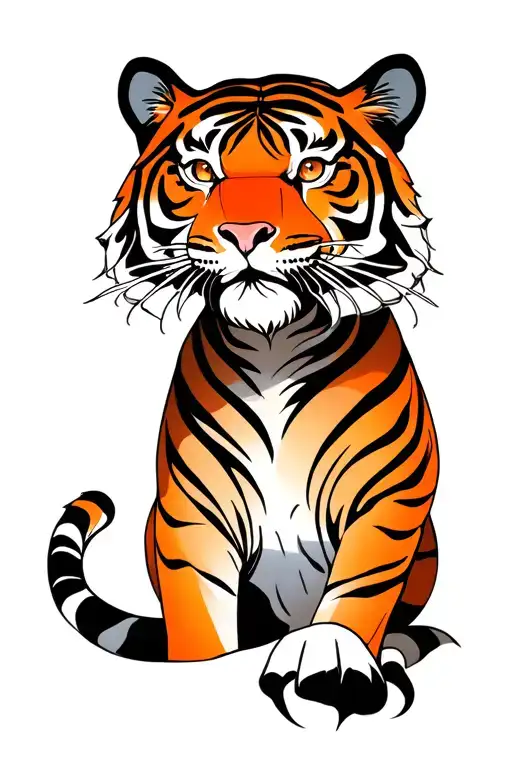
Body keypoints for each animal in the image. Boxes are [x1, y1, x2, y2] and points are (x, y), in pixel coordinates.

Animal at [48, 53, 457, 728]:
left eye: (312, 169)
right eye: (200, 172)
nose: (244, 233)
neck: (273, 345)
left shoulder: (390, 498)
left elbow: (359, 588)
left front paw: (334, 658)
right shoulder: (190, 518)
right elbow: (200, 623)